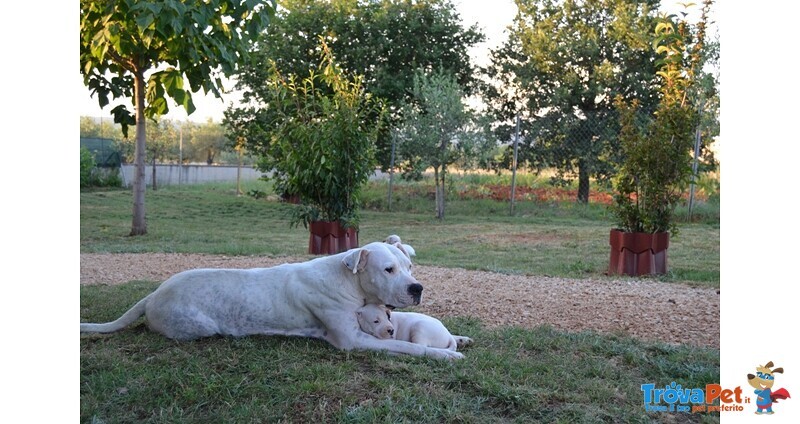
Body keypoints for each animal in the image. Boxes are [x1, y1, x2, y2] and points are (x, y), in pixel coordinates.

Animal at [80, 240, 462, 360]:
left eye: (409, 267)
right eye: (388, 269)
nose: (417, 288)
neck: (348, 280)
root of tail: (153, 293)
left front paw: (457, 339)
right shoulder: (354, 340)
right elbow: (407, 346)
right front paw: (445, 355)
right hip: (198, 326)